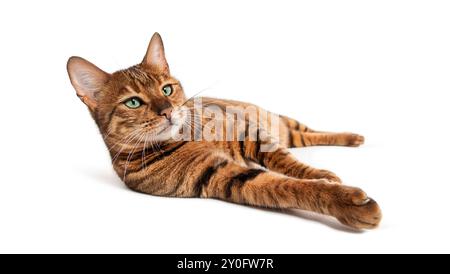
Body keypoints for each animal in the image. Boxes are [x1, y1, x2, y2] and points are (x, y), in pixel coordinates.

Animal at [67, 32, 382, 229]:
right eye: (133, 102)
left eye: (167, 89)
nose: (167, 110)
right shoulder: (221, 175)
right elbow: (285, 185)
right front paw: (344, 202)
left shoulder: (249, 133)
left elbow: (287, 162)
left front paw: (320, 174)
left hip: (284, 124)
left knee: (307, 133)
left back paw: (353, 138)